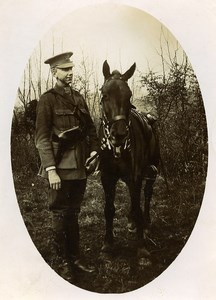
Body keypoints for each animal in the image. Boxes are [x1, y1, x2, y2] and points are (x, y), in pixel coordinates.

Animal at [98, 59, 159, 262]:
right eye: (105, 95)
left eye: (129, 95)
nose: (119, 134)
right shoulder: (107, 178)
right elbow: (109, 209)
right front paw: (108, 244)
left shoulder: (135, 177)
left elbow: (138, 206)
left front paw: (141, 247)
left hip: (150, 172)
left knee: (146, 195)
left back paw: (145, 224)